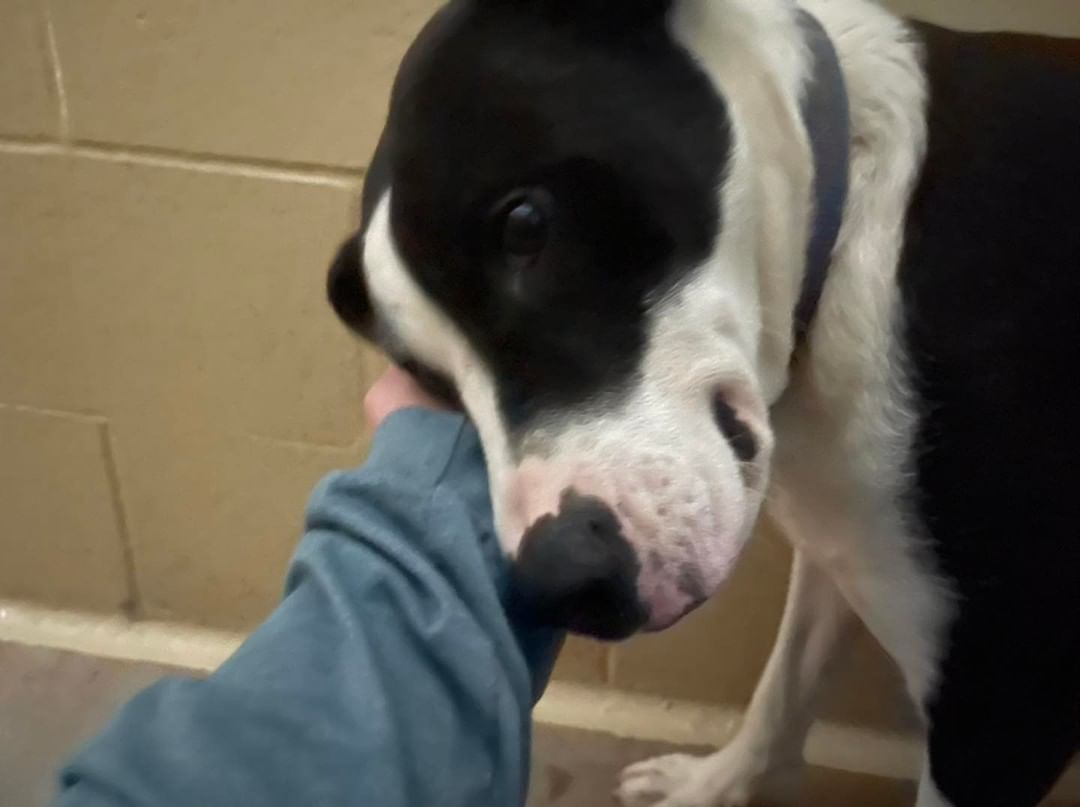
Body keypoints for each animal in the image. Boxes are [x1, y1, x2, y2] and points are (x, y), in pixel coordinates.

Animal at [326, 3, 1080, 803]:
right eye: (427, 375)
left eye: (524, 225)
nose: (564, 584)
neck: (849, 235)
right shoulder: (842, 546)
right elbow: (784, 685)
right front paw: (716, 784)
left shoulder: (1001, 701)